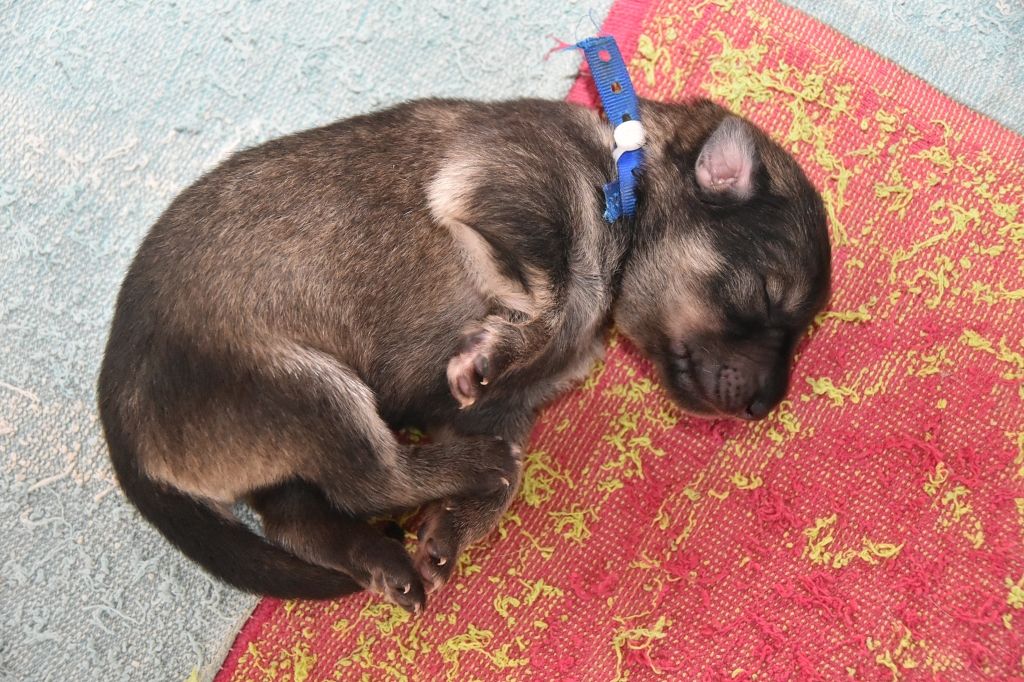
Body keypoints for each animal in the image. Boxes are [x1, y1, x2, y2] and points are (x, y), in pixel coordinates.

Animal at [97, 96, 831, 613]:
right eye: (767, 297)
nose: (766, 406)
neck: (624, 174)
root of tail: (122, 432)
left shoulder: (502, 408)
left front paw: (452, 525)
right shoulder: (502, 192)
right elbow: (553, 299)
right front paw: (500, 345)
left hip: (290, 437)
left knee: (302, 519)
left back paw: (384, 555)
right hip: (309, 387)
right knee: (374, 479)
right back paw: (471, 468)